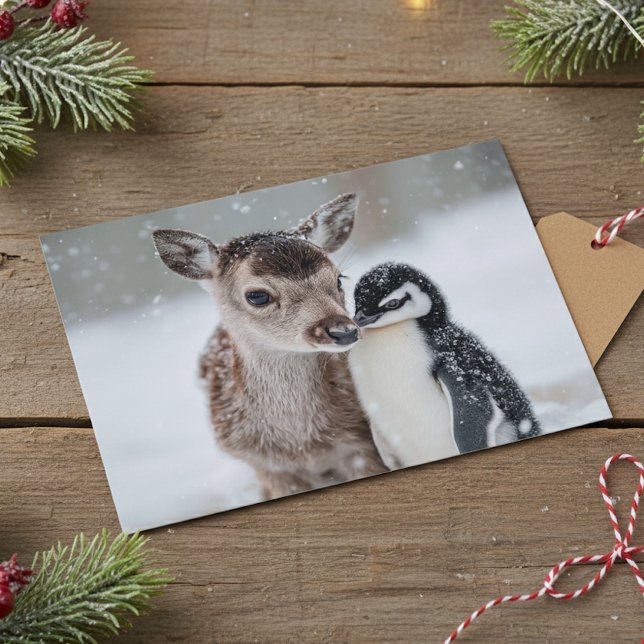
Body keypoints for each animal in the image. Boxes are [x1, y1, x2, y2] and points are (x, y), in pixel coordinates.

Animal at [152, 193, 387, 501]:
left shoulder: (360, 444)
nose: (344, 331)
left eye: (338, 278)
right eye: (258, 296)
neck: (302, 445)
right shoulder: (264, 464)